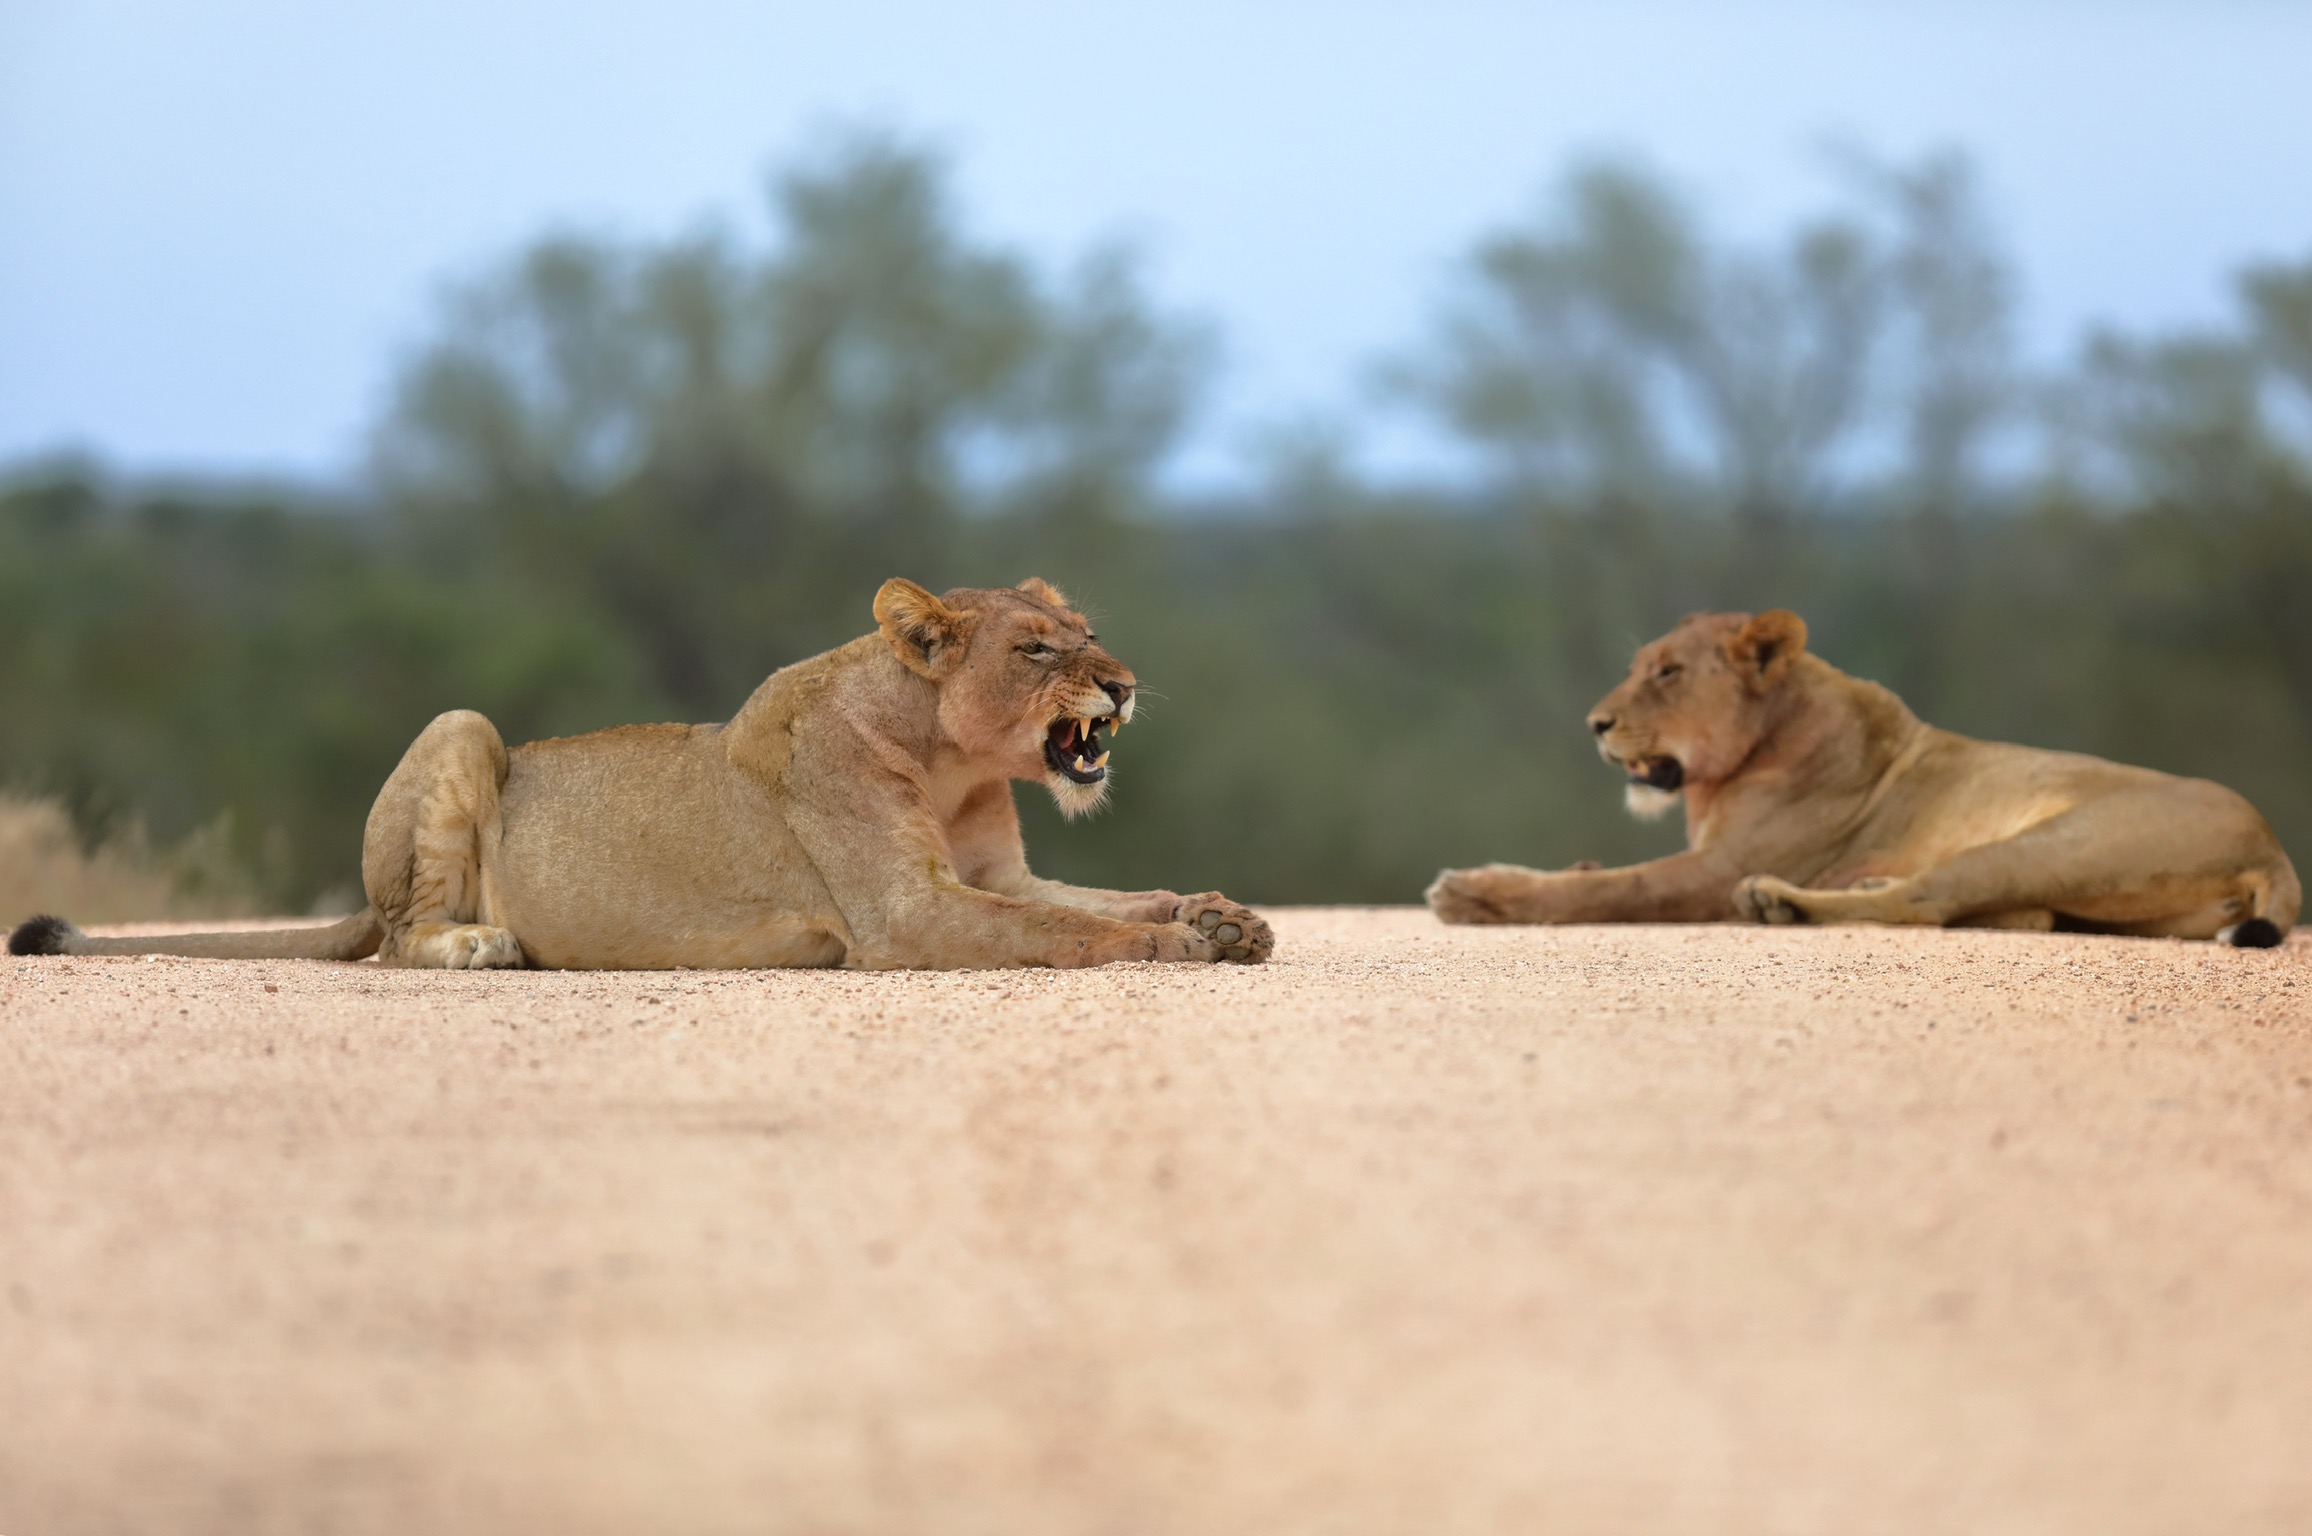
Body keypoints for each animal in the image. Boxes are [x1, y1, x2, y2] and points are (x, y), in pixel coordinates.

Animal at [10, 578, 1273, 970]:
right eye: (1038, 652)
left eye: (1088, 632)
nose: (1122, 685)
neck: (951, 758)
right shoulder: (903, 915)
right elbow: (1073, 930)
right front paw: (1181, 947)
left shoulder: (992, 878)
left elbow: (1107, 897)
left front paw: (1222, 916)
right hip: (463, 725)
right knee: (404, 934)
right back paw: (482, 944)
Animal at [1426, 609, 2299, 946]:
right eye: (1639, 667)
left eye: (1668, 673)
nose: (1594, 723)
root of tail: (2272, 843)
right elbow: (1599, 873)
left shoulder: (1718, 865)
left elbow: (1619, 887)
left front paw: (1480, 894)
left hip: (2050, 842)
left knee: (1928, 903)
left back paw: (1778, 903)